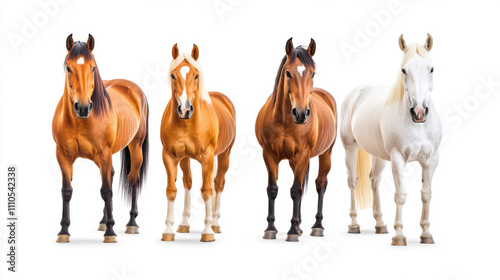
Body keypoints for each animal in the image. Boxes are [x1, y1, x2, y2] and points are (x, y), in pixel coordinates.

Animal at [54, 34, 150, 243]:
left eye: (93, 67)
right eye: (68, 67)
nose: (83, 107)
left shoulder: (104, 154)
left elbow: (106, 191)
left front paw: (111, 233)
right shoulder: (63, 156)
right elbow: (66, 191)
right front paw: (63, 231)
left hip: (135, 146)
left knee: (133, 179)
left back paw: (131, 223)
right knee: (111, 176)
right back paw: (104, 221)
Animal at [161, 43, 237, 243]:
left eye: (196, 75)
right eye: (173, 75)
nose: (185, 109)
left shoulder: (207, 157)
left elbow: (207, 191)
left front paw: (207, 230)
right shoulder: (170, 156)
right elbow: (172, 190)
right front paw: (168, 229)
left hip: (224, 155)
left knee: (218, 183)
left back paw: (215, 223)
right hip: (185, 159)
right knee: (188, 182)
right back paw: (184, 223)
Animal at [256, 38, 338, 242]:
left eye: (313, 72)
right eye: (288, 72)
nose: (301, 114)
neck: (285, 120)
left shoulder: (303, 155)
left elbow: (296, 191)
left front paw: (292, 230)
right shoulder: (268, 155)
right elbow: (273, 189)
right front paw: (271, 229)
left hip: (325, 154)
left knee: (320, 184)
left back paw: (317, 226)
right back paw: (301, 226)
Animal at [340, 34, 442, 246]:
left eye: (431, 68)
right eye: (404, 69)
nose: (419, 112)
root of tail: (357, 92)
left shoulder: (431, 161)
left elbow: (426, 195)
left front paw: (426, 234)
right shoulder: (398, 159)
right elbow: (401, 195)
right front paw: (399, 236)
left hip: (378, 155)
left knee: (374, 180)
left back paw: (380, 224)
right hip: (350, 147)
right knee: (353, 181)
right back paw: (354, 224)